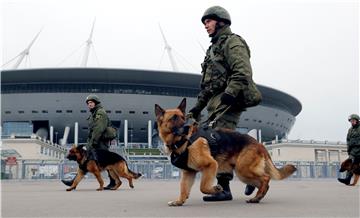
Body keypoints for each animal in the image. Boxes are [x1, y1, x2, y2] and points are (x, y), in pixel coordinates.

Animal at [156, 99, 296, 206]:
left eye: (183, 117)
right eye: (173, 118)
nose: (186, 127)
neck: (183, 141)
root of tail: (259, 144)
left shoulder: (211, 165)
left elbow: (203, 187)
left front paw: (216, 189)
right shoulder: (188, 173)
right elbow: (184, 190)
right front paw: (179, 201)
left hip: (243, 170)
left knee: (265, 178)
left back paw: (256, 197)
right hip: (244, 173)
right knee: (262, 183)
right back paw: (257, 196)